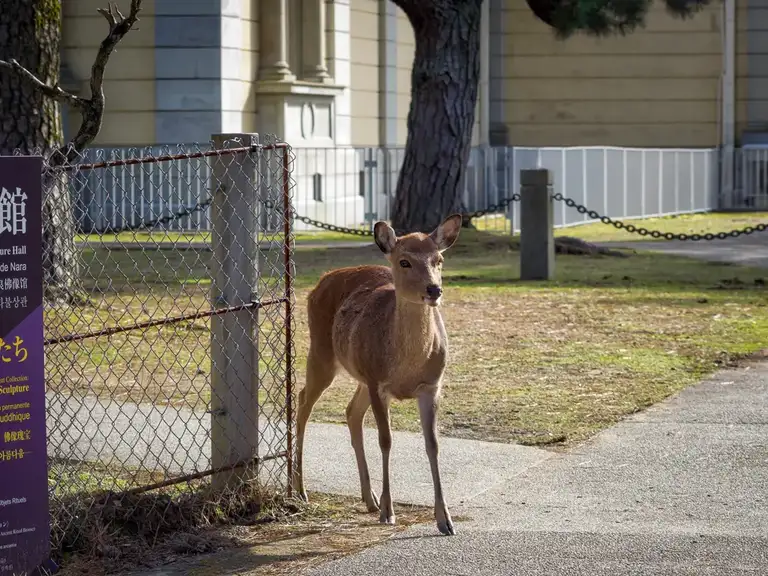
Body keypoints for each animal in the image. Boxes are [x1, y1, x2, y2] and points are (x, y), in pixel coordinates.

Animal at [292, 213, 463, 536]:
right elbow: (386, 440)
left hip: (358, 372)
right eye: (404, 261)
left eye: (439, 260)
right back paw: (300, 490)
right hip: (322, 351)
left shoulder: (432, 386)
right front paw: (389, 512)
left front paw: (445, 520)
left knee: (350, 412)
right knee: (303, 399)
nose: (434, 290)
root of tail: (322, 279)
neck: (408, 364)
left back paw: (368, 498)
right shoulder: (378, 383)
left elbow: (433, 444)